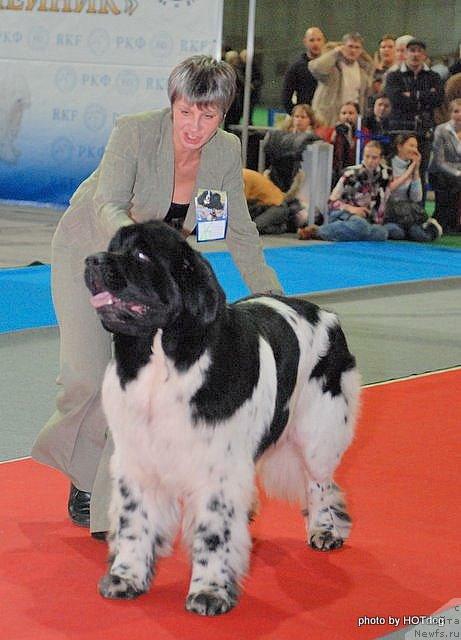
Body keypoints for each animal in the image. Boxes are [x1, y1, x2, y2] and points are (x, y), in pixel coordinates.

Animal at [84, 220, 362, 616]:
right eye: (112, 246)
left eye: (140, 254)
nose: (91, 260)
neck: (163, 362)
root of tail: (326, 314)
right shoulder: (137, 459)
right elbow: (133, 522)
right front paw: (126, 578)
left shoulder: (216, 467)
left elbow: (213, 533)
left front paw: (209, 592)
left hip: (319, 432)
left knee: (320, 483)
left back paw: (324, 530)